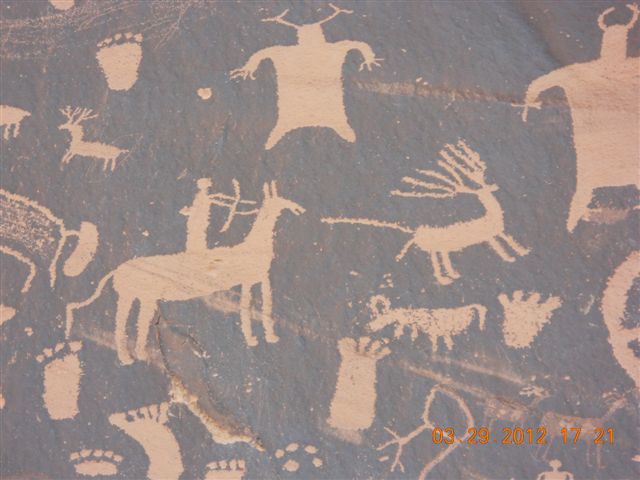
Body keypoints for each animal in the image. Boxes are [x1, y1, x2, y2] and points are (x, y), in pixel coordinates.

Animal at [65, 182, 304, 365]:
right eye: (283, 200)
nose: (300, 209)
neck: (254, 245)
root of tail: (117, 269)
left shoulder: (259, 279)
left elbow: (261, 306)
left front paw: (266, 337)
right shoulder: (250, 280)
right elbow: (251, 308)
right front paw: (257, 338)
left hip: (134, 296)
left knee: (127, 323)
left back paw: (133, 356)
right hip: (142, 296)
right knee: (132, 323)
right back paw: (133, 356)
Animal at [322, 140, 529, 285]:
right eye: (484, 189)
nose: (495, 187)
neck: (491, 215)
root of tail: (415, 231)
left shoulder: (494, 235)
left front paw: (520, 252)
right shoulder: (494, 234)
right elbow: (504, 245)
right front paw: (516, 254)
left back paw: (452, 275)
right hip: (437, 248)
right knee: (438, 263)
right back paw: (447, 278)